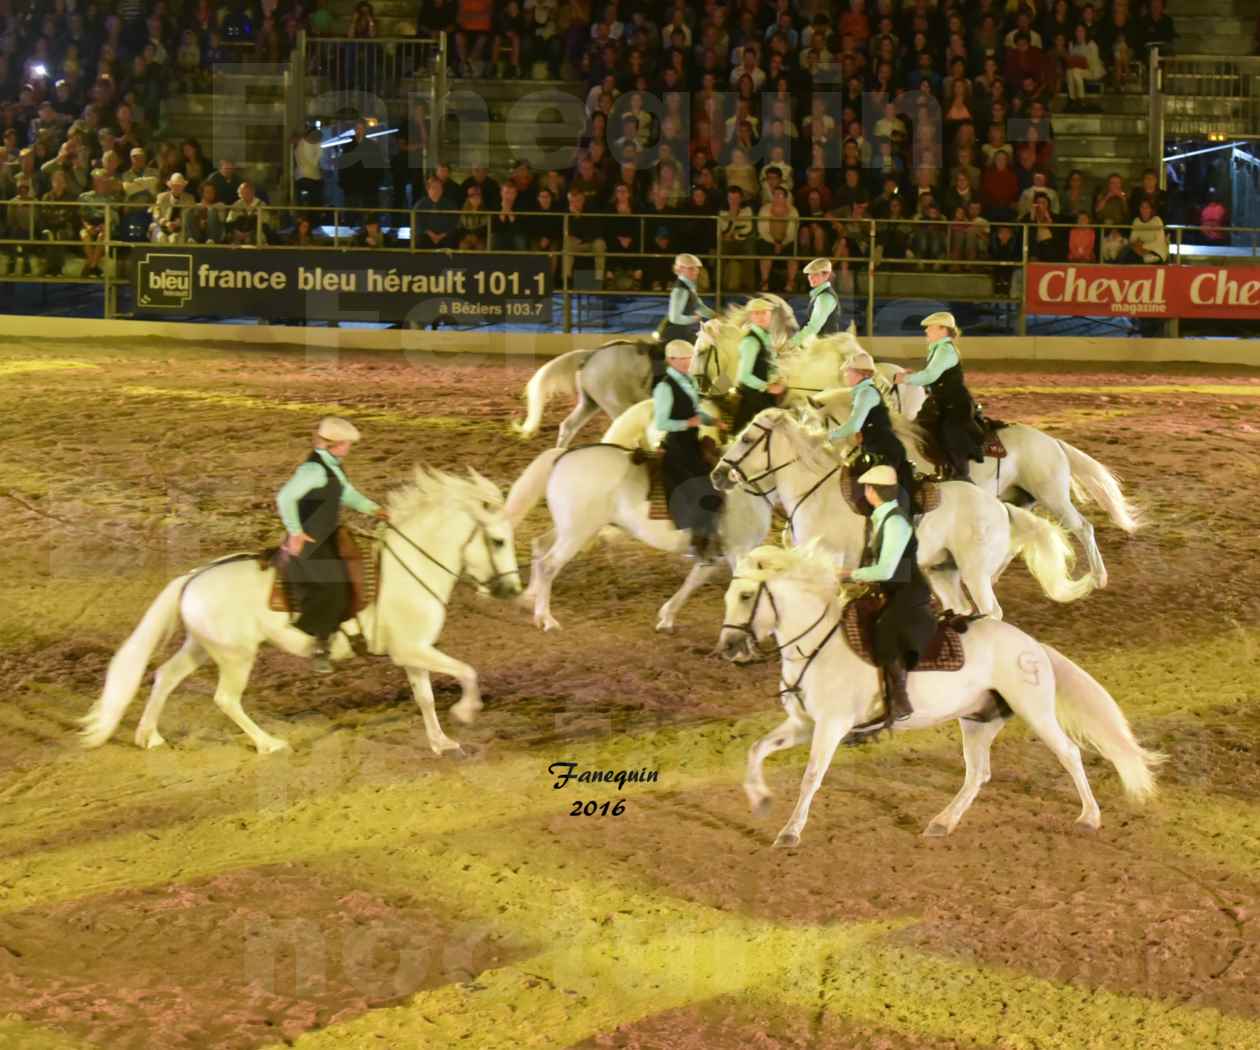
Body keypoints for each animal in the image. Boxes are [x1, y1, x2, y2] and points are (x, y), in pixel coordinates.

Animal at [80, 466, 521, 756]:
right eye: (498, 541)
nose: (513, 589)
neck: (407, 568)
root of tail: (193, 577)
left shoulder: (414, 653)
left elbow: (425, 697)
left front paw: (441, 741)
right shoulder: (412, 649)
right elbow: (466, 671)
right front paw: (466, 712)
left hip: (202, 647)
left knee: (165, 676)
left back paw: (148, 736)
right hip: (236, 657)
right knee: (225, 699)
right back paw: (268, 743)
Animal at [715, 408, 1098, 622]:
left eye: (747, 438)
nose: (718, 474)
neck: (816, 493)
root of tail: (999, 508)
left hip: (978, 567)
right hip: (943, 570)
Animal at [720, 544, 1159, 847]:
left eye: (745, 596)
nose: (727, 648)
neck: (816, 645)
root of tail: (1033, 645)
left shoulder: (831, 725)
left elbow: (811, 776)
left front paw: (789, 833)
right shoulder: (803, 724)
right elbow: (757, 749)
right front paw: (760, 801)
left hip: (1035, 712)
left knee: (1068, 754)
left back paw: (1089, 817)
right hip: (978, 720)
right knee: (978, 774)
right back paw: (942, 822)